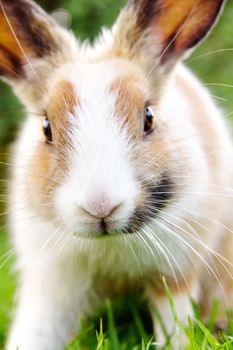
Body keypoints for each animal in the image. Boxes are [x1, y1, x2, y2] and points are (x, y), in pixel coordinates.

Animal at [0, 0, 232, 348]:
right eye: (46, 128)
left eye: (149, 117)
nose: (100, 207)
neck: (109, 244)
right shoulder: (52, 285)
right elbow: (37, 330)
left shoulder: (175, 273)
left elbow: (174, 324)